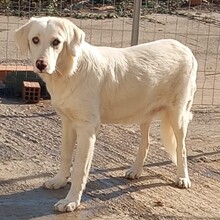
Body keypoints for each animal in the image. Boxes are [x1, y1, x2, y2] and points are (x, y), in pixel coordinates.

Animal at [15, 17, 198, 213]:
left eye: (56, 42)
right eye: (35, 40)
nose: (41, 64)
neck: (70, 72)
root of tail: (184, 48)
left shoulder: (87, 129)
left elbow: (79, 169)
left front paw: (71, 201)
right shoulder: (67, 123)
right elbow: (65, 157)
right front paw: (59, 181)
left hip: (177, 116)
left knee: (181, 148)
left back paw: (183, 178)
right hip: (144, 113)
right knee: (146, 143)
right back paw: (136, 170)